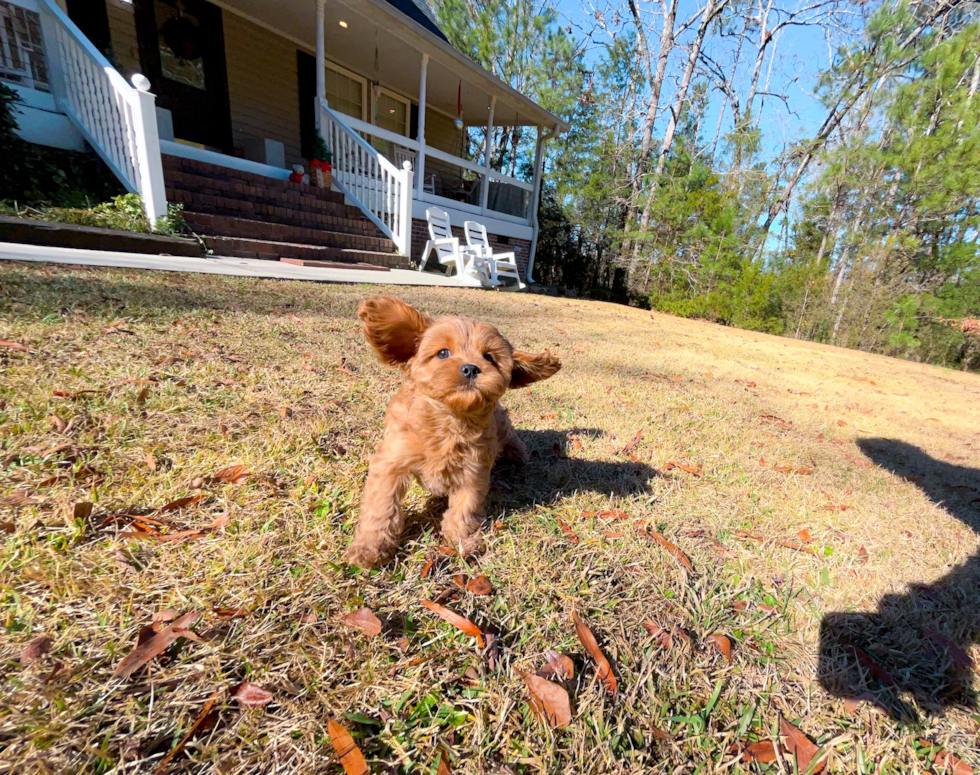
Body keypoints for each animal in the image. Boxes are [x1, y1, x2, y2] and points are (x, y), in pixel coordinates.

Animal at [346, 298, 560, 568]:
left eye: (489, 357)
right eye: (443, 353)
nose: (470, 368)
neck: (449, 420)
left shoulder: (473, 469)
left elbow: (465, 507)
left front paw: (462, 541)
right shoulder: (391, 462)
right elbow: (381, 506)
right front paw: (369, 548)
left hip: (500, 426)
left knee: (510, 435)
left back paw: (518, 455)